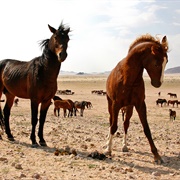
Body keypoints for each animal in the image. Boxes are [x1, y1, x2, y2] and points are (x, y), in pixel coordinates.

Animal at [105, 34, 169, 165]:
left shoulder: (140, 105)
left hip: (129, 108)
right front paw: (108, 149)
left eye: (167, 62)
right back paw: (108, 142)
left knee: (126, 124)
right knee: (111, 122)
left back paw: (124, 146)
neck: (128, 77)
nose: (158, 83)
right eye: (156, 63)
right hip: (110, 104)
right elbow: (113, 126)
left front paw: (156, 155)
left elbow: (147, 129)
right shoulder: (115, 105)